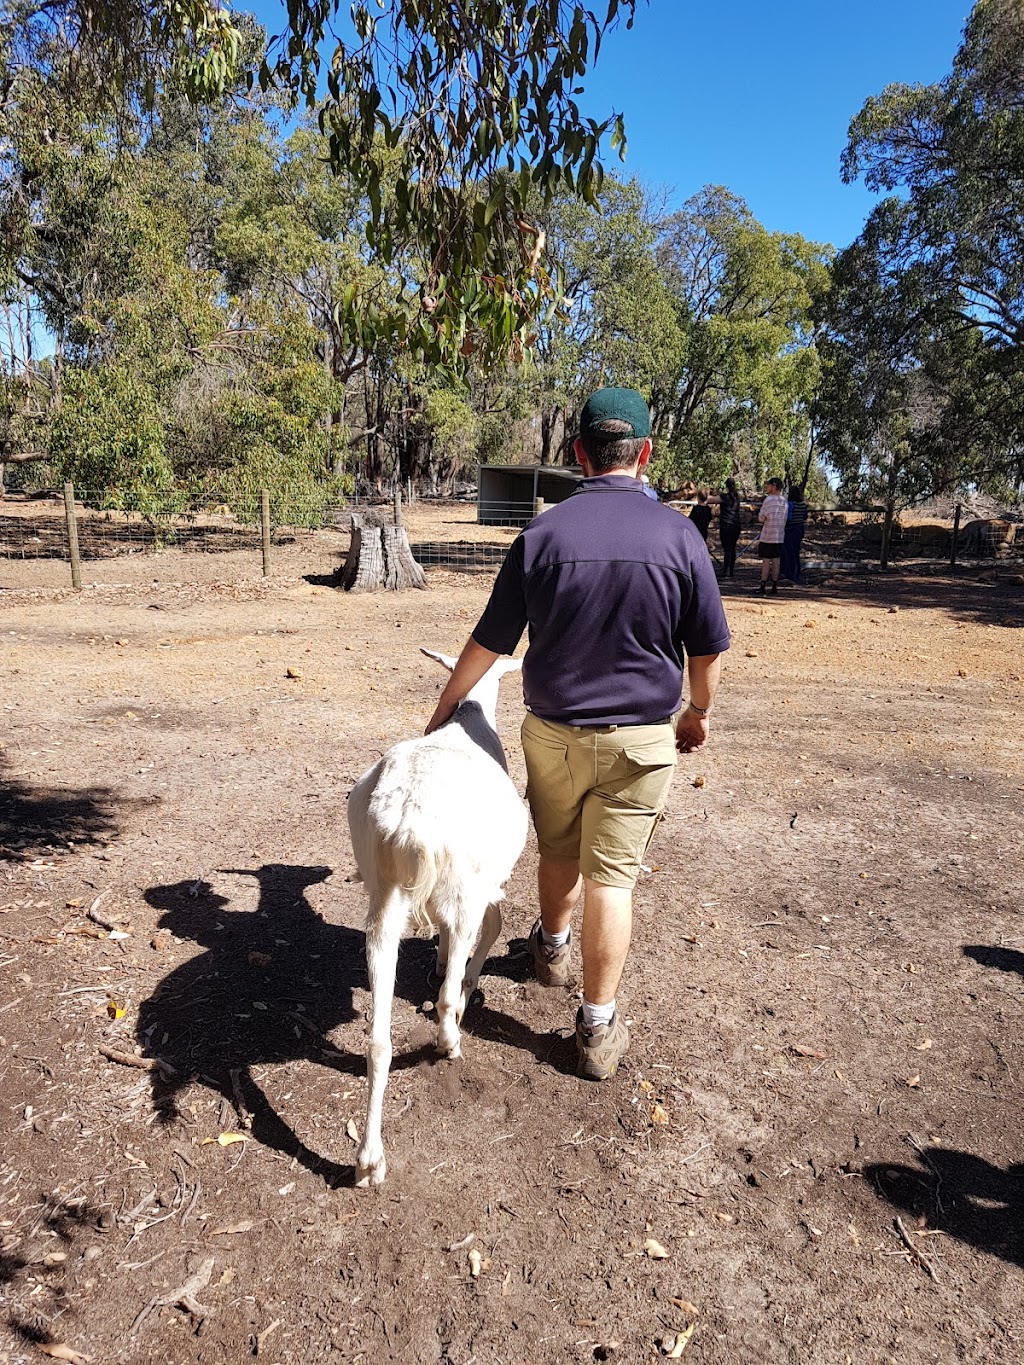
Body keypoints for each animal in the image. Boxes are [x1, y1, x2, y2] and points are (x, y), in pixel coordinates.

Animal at [352, 649, 529, 1184]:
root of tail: (410, 822)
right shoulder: (485, 883)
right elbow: (491, 930)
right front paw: (465, 984)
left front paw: (437, 962)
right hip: (462, 888)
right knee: (451, 986)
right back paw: (450, 1039)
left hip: (384, 899)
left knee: (378, 1041)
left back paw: (369, 1160)